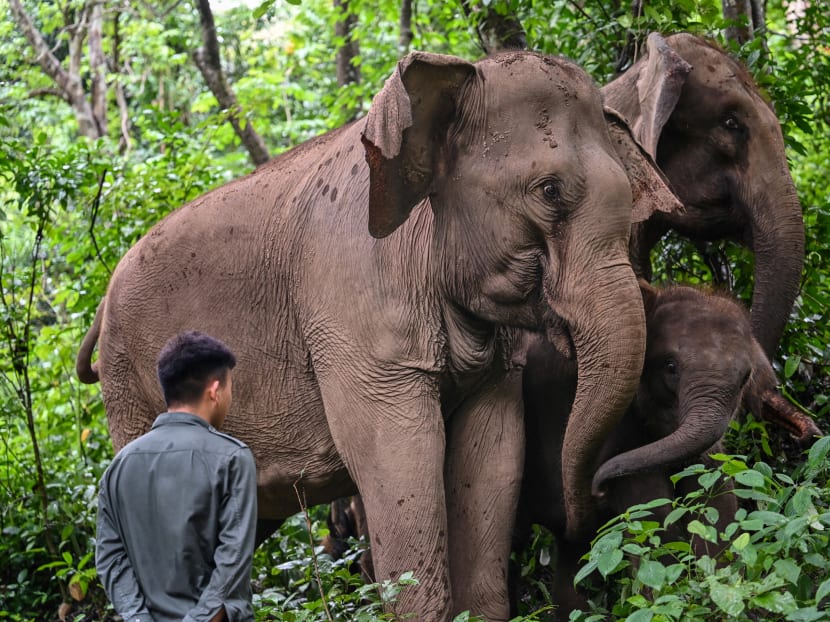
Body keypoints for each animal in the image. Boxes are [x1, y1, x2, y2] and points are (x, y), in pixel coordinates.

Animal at [73, 51, 684, 620]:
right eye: (550, 191)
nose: (594, 501)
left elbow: (492, 452)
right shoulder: (351, 301)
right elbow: (397, 454)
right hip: (128, 386)